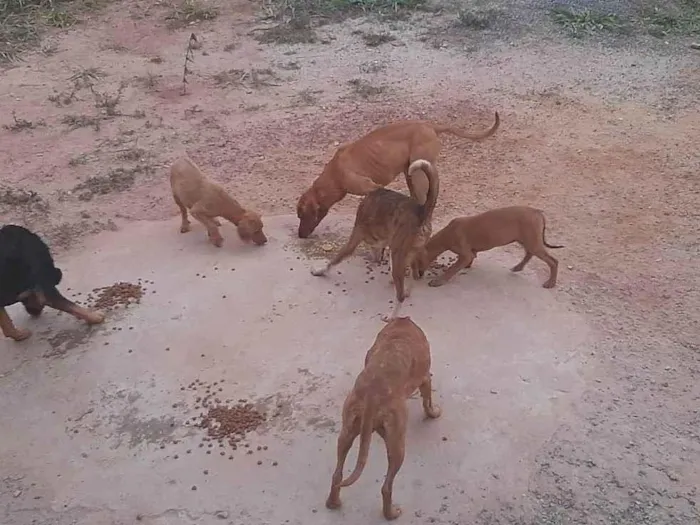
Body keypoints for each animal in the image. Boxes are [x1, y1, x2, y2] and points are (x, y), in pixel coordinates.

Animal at [294, 114, 498, 239]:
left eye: (301, 215)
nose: (300, 235)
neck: (334, 174)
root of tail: (430, 126)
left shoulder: (371, 188)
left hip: (418, 176)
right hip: (411, 175)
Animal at [310, 158, 438, 320]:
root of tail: (421, 211)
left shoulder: (355, 238)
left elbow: (334, 260)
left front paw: (319, 271)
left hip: (397, 253)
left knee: (400, 295)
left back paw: (391, 316)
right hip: (412, 252)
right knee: (414, 277)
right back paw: (407, 290)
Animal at [326, 316, 440, 520]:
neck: (401, 325)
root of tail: (372, 396)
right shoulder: (425, 378)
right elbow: (427, 402)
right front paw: (433, 413)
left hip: (346, 433)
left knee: (337, 474)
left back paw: (333, 502)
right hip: (397, 445)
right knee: (386, 487)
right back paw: (391, 513)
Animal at [416, 205, 564, 286]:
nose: (417, 276)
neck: (446, 234)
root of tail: (536, 211)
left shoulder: (465, 254)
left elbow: (452, 269)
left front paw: (439, 281)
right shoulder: (471, 253)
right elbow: (467, 260)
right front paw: (467, 266)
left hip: (532, 242)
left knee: (553, 261)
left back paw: (550, 283)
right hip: (527, 240)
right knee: (529, 253)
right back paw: (518, 267)